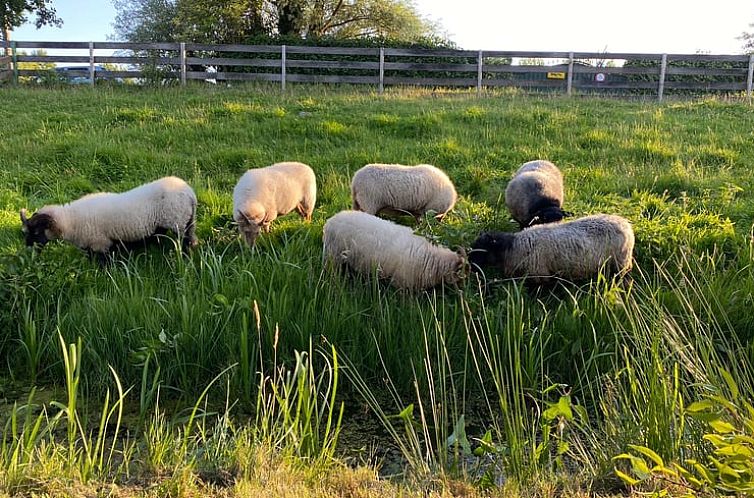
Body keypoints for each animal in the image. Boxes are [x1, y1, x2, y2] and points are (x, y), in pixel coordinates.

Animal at [19, 176, 197, 260]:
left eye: (36, 232)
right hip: (183, 222)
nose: (27, 247)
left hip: (178, 221)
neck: (70, 221)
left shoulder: (100, 244)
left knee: (186, 242)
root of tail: (190, 194)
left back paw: (185, 258)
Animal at [468, 214, 632, 284]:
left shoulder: (540, 274)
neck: (513, 247)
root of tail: (626, 225)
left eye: (482, 249)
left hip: (620, 263)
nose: (470, 265)